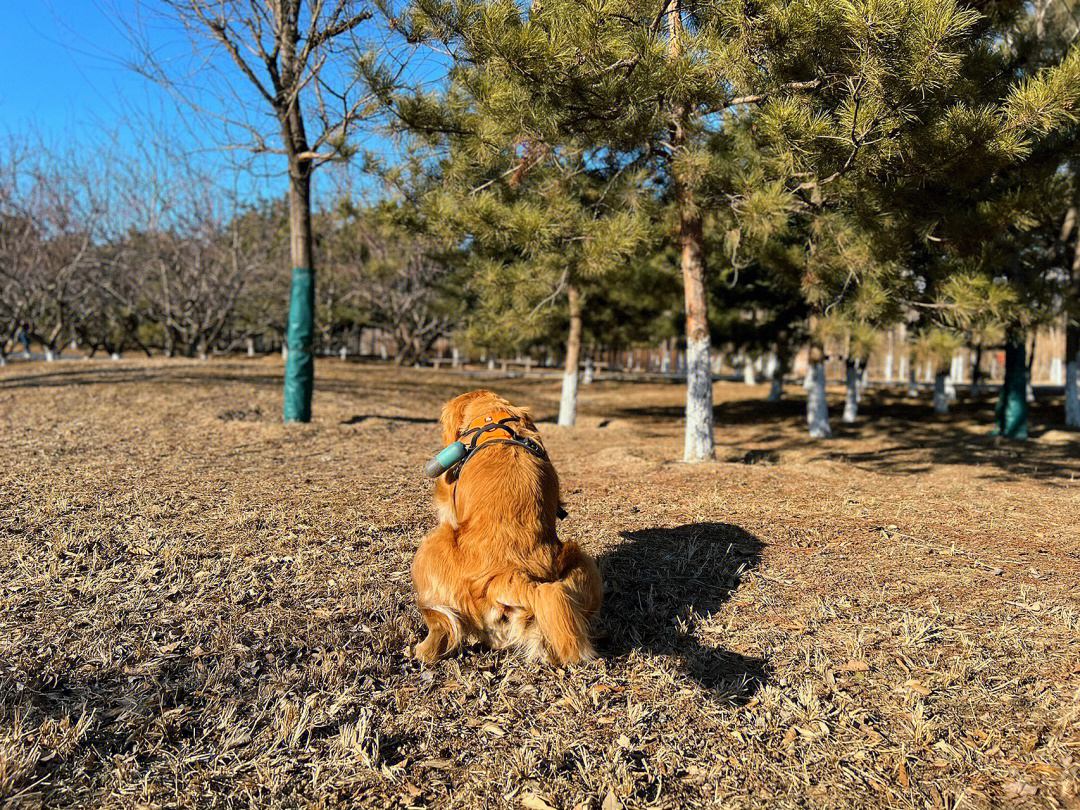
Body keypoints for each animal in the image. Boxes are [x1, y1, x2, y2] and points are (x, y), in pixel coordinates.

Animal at [408, 390, 604, 665]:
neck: (492, 418)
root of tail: (509, 578)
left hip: (431, 546)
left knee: (441, 624)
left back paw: (422, 650)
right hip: (584, 567)